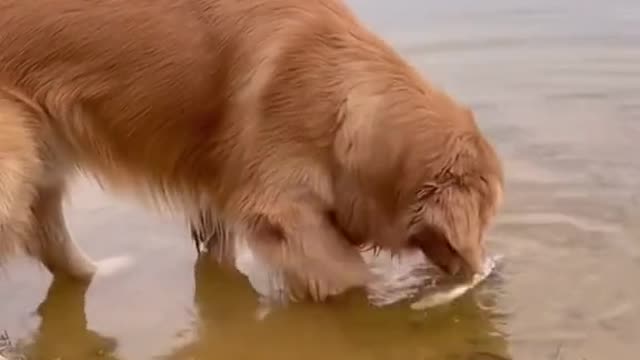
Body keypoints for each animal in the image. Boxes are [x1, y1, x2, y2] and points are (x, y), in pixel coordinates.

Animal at [0, 0, 502, 300]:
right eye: (484, 218)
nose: (482, 269)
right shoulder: (278, 207)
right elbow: (348, 274)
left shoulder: (218, 196)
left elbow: (219, 254)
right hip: (13, 163)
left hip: (42, 161)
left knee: (50, 244)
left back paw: (104, 273)